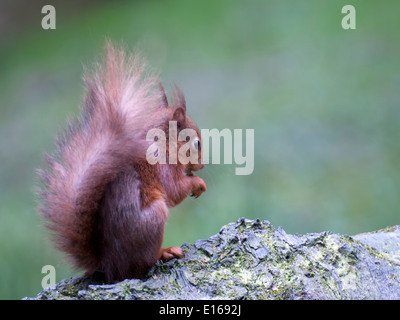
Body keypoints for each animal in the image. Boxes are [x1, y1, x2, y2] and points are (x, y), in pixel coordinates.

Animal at [38, 42, 206, 282]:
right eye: (197, 143)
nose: (202, 165)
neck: (162, 142)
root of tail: (109, 265)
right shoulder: (163, 165)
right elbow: (174, 190)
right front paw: (198, 183)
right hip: (155, 218)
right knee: (142, 264)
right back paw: (165, 252)